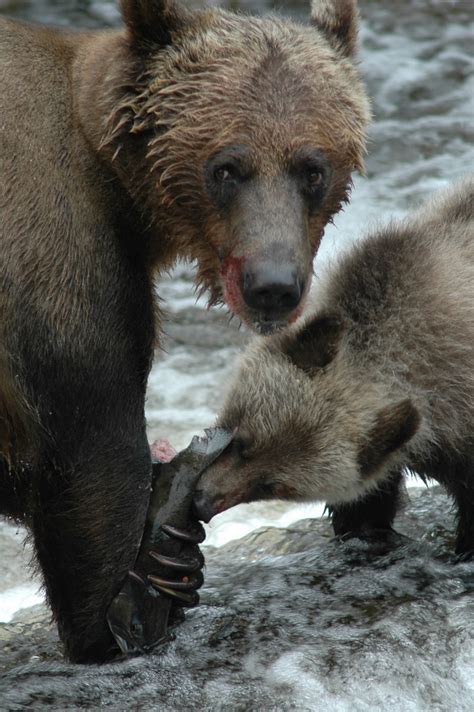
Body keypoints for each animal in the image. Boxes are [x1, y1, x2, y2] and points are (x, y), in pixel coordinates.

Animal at [0, 1, 370, 660]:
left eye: (312, 169)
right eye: (227, 167)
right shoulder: (61, 262)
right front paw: (124, 610)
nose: (273, 285)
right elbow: (91, 460)